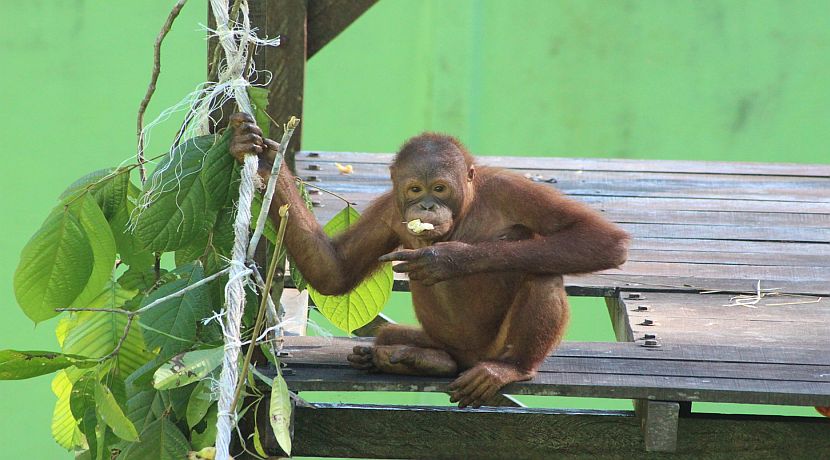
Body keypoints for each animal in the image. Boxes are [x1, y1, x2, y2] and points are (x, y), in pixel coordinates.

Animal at [229, 113, 629, 408]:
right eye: (415, 189)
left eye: (440, 188)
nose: (426, 206)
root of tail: (468, 358)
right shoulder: (389, 209)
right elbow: (334, 272)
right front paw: (262, 155)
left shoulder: (510, 189)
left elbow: (601, 240)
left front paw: (445, 259)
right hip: (438, 340)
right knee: (395, 336)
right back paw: (411, 359)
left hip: (493, 348)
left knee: (542, 276)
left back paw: (510, 369)